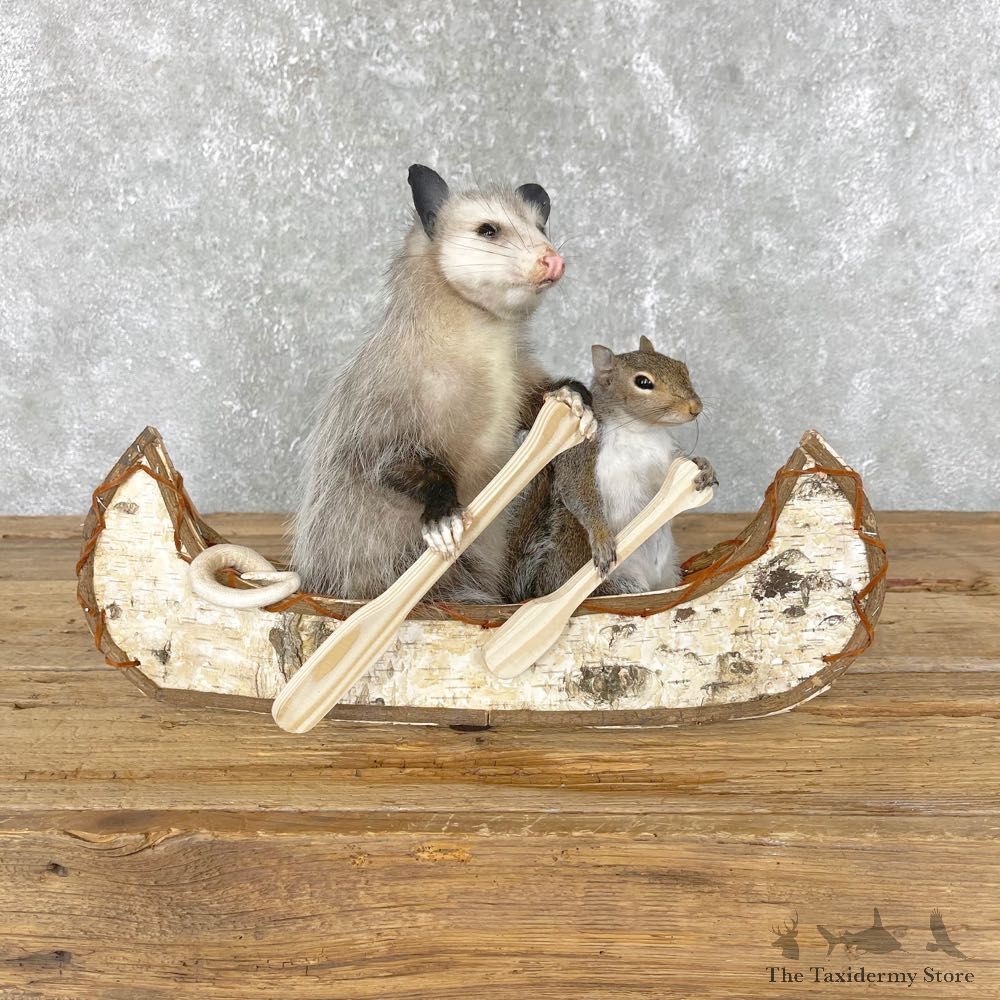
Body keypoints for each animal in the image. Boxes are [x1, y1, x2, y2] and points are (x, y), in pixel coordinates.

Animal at [291, 164, 595, 603]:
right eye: (488, 229)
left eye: (541, 226)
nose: (552, 260)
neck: (483, 341)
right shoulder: (385, 392)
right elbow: (384, 457)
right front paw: (443, 515)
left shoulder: (518, 375)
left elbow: (532, 404)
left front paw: (572, 396)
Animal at [506, 337, 716, 599]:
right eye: (643, 382)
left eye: (683, 368)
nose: (695, 407)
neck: (639, 431)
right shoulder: (582, 454)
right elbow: (579, 493)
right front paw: (602, 539)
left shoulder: (664, 457)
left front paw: (704, 466)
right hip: (612, 585)